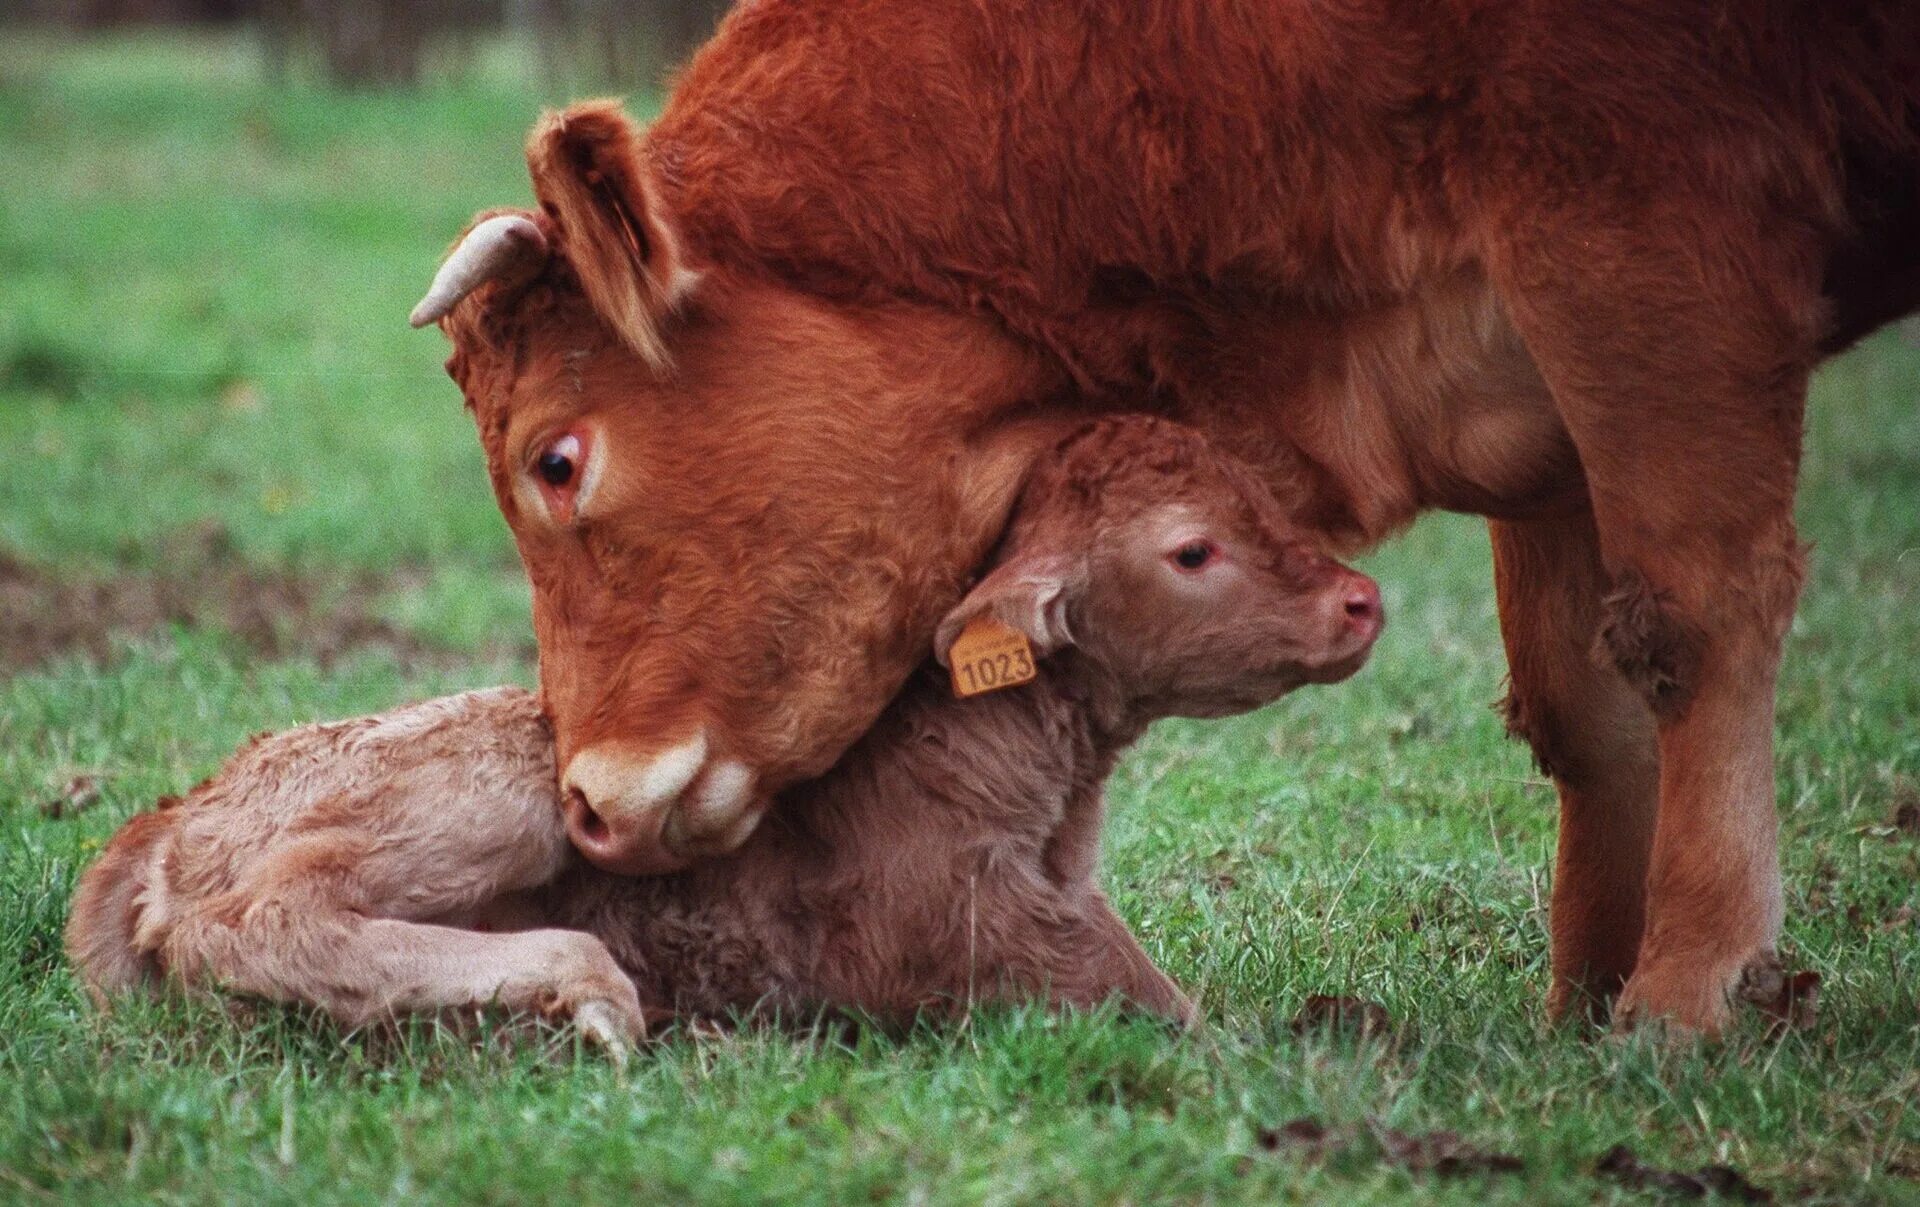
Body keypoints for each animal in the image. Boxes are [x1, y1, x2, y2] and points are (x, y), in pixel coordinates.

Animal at [63, 418, 1382, 1051]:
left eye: (1265, 500)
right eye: (1192, 550)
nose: (1363, 600)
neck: (1045, 793)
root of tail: (179, 808)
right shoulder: (949, 923)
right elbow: (1153, 999)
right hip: (509, 785)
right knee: (257, 920)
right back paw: (583, 988)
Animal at [412, 2, 1920, 1036]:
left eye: (557, 459)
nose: (588, 802)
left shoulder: (1644, 246)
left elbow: (1688, 621)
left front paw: (1688, 986)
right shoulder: (1541, 405)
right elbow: (1582, 704)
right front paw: (1583, 999)